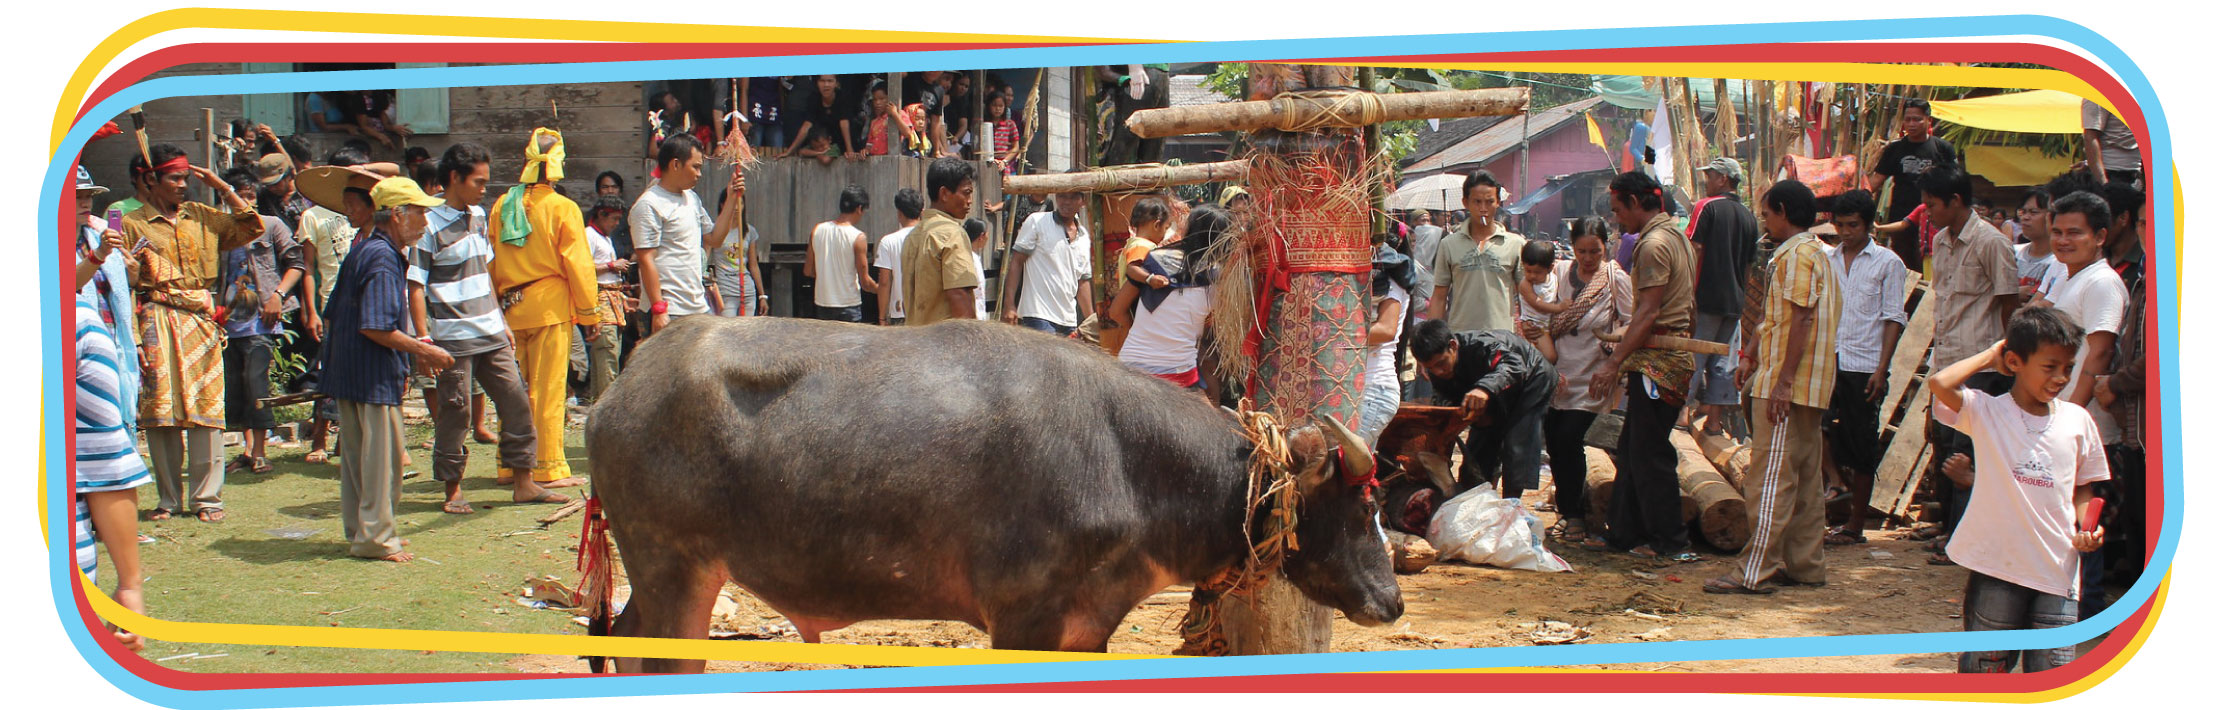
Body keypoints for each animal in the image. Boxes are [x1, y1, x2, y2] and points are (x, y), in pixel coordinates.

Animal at [590, 315, 1403, 670]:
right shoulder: (1023, 620)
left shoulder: (1087, 626)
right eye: (1364, 507)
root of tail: (618, 391)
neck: (1128, 461)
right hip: (674, 572)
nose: (1392, 601)